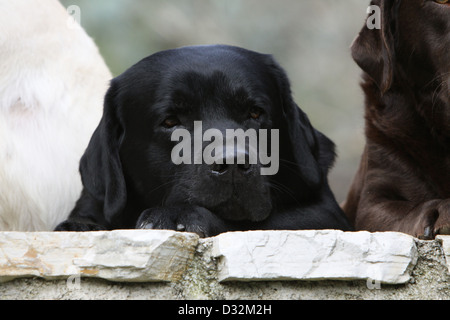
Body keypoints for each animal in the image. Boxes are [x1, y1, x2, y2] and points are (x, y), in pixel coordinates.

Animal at [55, 44, 352, 235]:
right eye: (170, 122)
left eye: (255, 113)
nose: (232, 164)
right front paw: (80, 226)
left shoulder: (326, 214)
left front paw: (177, 215)